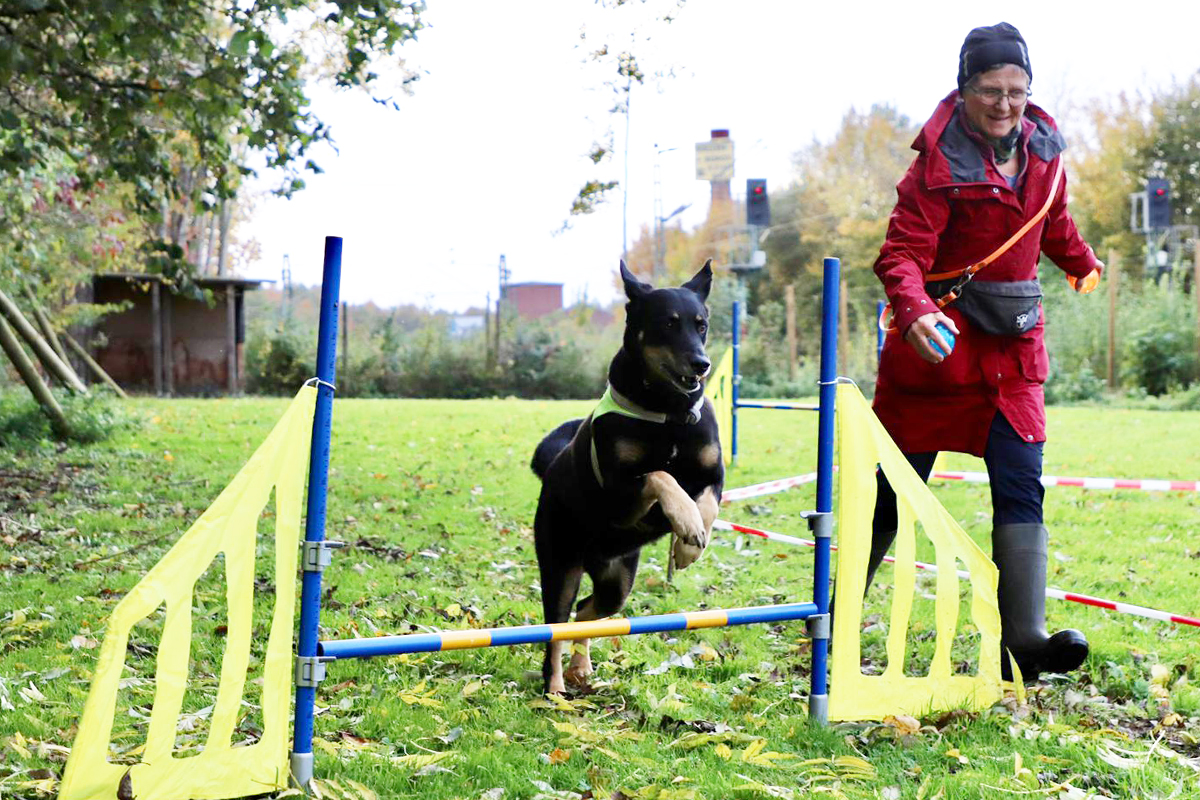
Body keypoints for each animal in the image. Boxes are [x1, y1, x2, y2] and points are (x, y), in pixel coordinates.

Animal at [532, 260, 720, 690]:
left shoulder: (714, 474)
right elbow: (660, 475)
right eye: (668, 324)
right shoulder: (619, 495)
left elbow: (708, 502)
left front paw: (689, 543)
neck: (669, 412)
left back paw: (580, 666)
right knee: (556, 628)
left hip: (616, 581)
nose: (701, 364)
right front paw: (685, 523)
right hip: (561, 566)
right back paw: (555, 687)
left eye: (701, 325)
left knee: (586, 612)